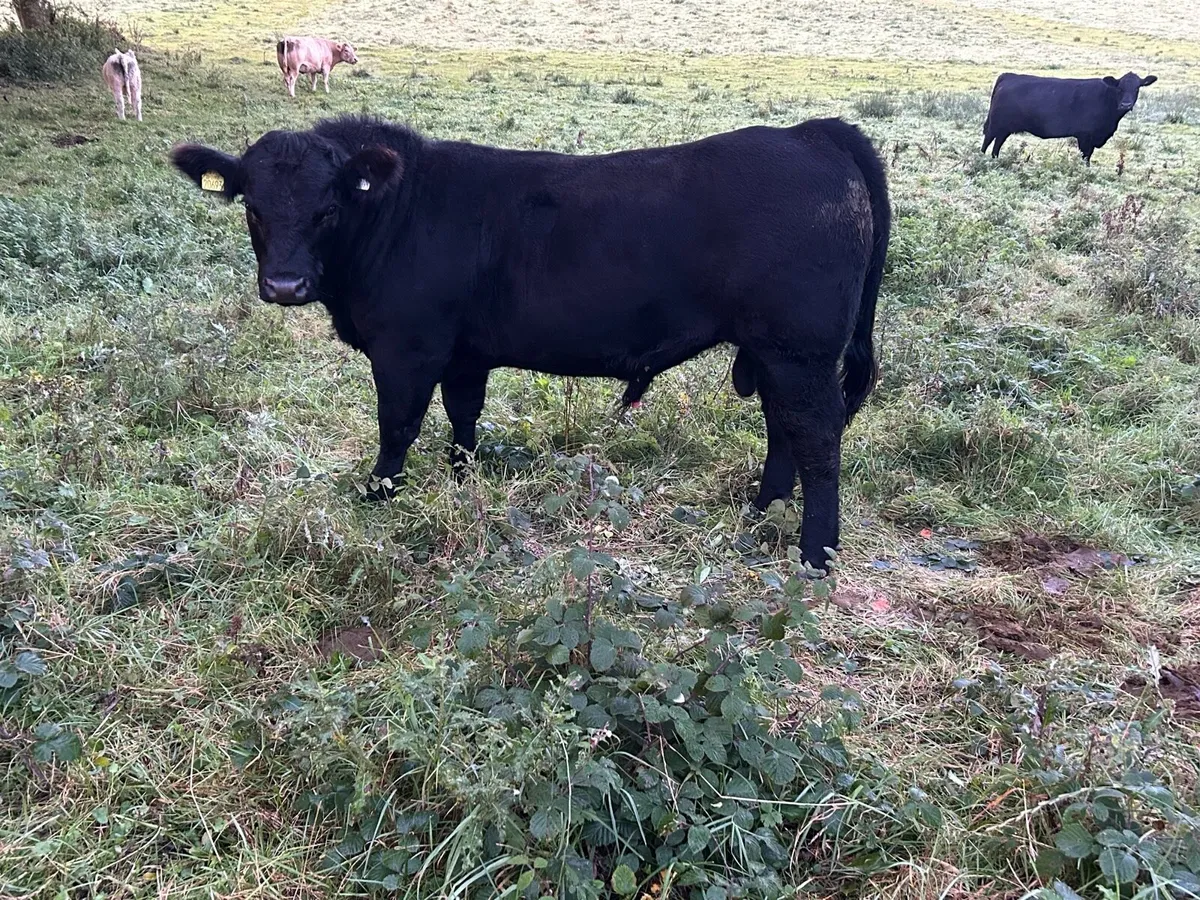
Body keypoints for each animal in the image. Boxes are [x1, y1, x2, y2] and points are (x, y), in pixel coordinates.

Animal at [170, 115, 890, 570]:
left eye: (328, 208)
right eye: (253, 207)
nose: (285, 284)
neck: (401, 210)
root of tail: (810, 134)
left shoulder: (407, 348)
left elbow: (397, 425)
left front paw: (380, 494)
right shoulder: (464, 354)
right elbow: (463, 419)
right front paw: (461, 484)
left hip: (799, 352)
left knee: (817, 438)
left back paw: (815, 554)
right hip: (775, 353)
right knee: (782, 429)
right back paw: (762, 513)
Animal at [981, 71, 1158, 164]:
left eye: (1137, 88)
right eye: (1119, 88)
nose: (1126, 104)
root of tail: (1009, 75)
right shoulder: (1085, 136)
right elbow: (1085, 157)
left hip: (1005, 127)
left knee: (998, 142)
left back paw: (994, 159)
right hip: (996, 124)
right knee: (988, 139)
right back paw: (981, 157)